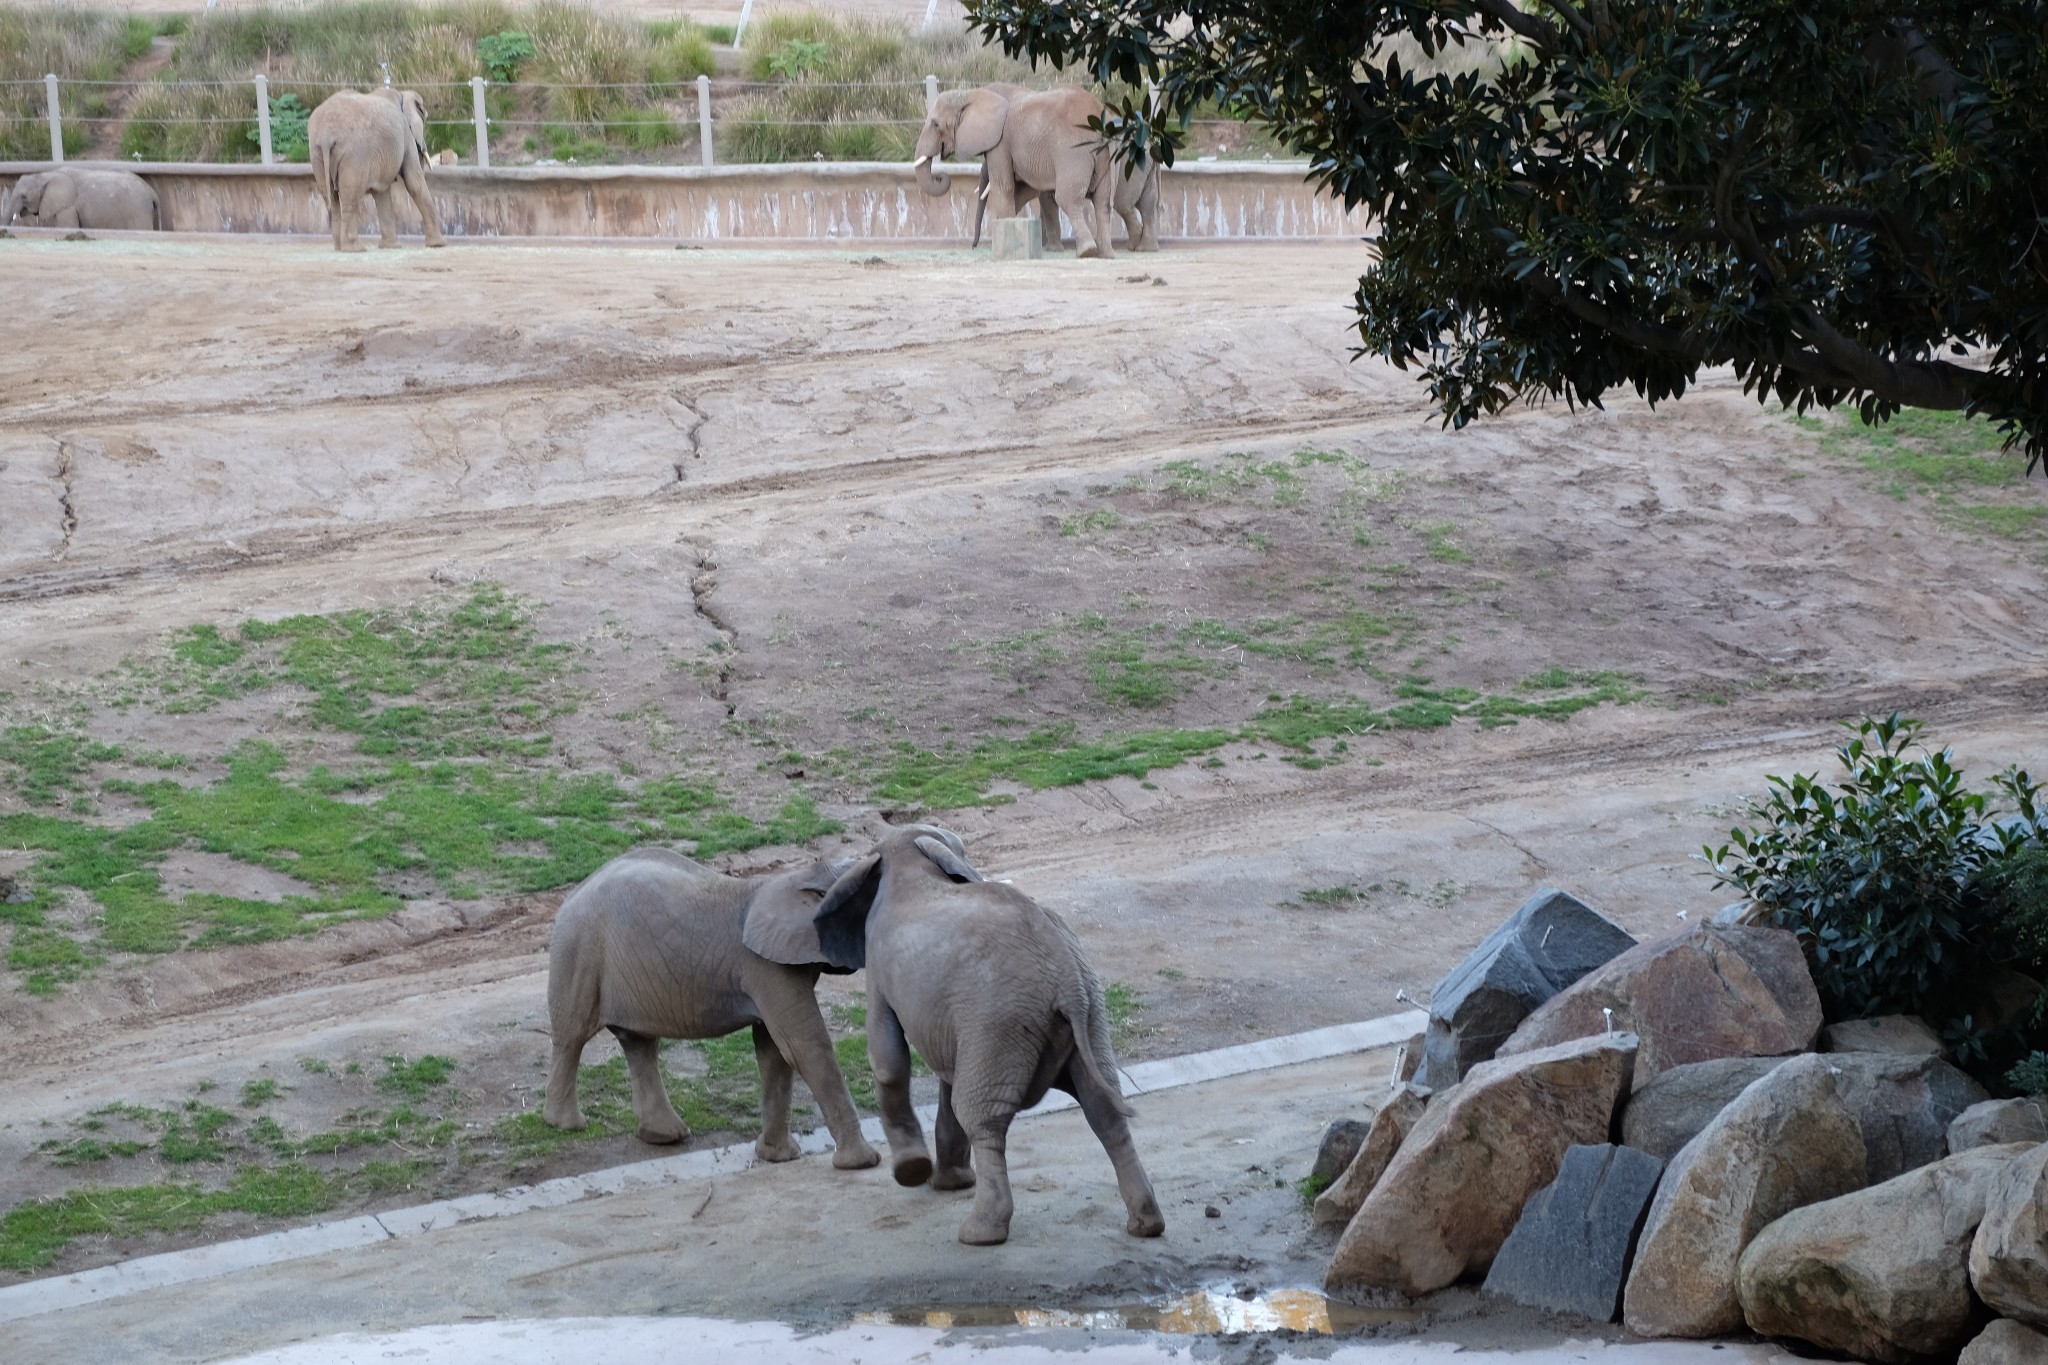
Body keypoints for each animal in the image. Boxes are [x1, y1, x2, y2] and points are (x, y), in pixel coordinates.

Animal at [3, 169, 163, 233]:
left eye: (23, 196)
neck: (46, 175)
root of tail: (153, 193)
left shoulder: (68, 207)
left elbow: (67, 228)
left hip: (138, 212)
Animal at [305, 87, 446, 253]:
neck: (402, 94)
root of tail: (326, 134)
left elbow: (382, 193)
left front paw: (391, 247)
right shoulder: (405, 134)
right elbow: (414, 182)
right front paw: (438, 245)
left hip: (317, 154)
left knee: (332, 198)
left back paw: (340, 247)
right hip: (354, 156)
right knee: (350, 195)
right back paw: (355, 248)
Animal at [548, 843, 884, 1178]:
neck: (801, 876)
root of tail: (574, 893)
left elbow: (774, 1050)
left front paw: (777, 1157)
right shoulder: (765, 967)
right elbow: (804, 1046)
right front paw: (862, 1163)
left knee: (639, 1043)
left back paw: (665, 1135)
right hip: (580, 951)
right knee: (572, 1036)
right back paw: (567, 1124)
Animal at [815, 822, 1171, 1252]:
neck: (908, 858)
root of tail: (1066, 974)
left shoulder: (880, 967)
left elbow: (888, 1061)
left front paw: (913, 1173)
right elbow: (944, 1076)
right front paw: (948, 1183)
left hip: (999, 1018)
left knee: (983, 1118)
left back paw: (979, 1234)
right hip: (1086, 1012)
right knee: (1103, 1108)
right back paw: (1146, 1225)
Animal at [917, 83, 1122, 261]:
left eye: (935, 124)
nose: (973, 246)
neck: (971, 93)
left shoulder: (1000, 142)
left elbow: (1003, 186)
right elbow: (1020, 190)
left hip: (1073, 151)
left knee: (1068, 198)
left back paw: (1086, 252)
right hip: (1105, 155)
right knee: (1103, 202)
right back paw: (1107, 255)